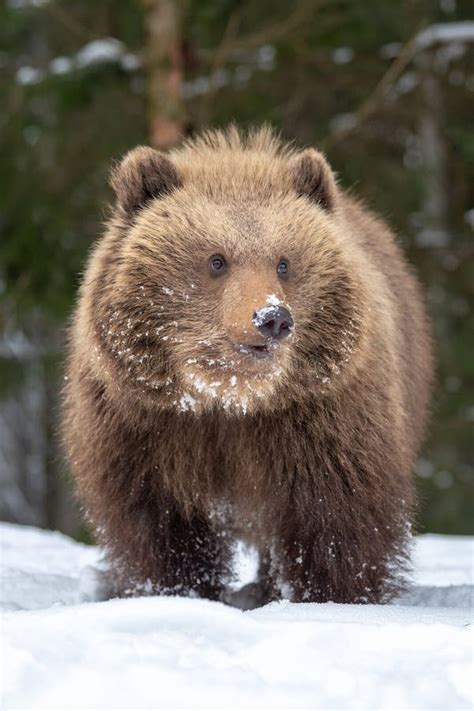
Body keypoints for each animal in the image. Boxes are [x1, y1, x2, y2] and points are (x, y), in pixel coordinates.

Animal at [63, 126, 434, 608]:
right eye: (216, 260)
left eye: (284, 262)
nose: (272, 317)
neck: (230, 400)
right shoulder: (144, 426)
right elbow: (157, 524)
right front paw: (175, 591)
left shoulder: (322, 419)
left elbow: (337, 517)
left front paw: (332, 596)